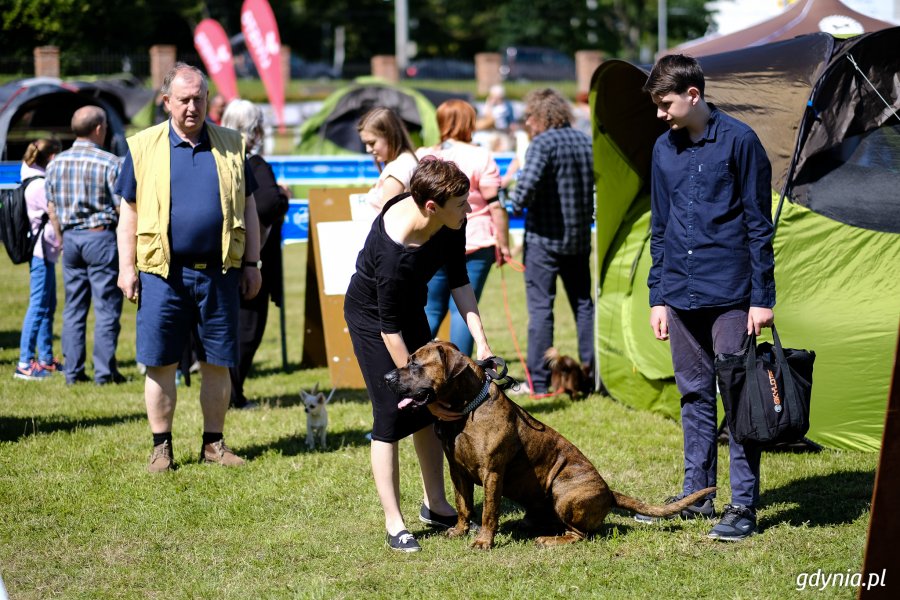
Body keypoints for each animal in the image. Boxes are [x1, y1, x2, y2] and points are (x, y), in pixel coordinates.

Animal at [384, 340, 712, 552]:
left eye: (415, 363)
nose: (387, 377)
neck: (467, 410)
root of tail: (609, 492)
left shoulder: (492, 474)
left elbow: (489, 510)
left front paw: (484, 541)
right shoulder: (457, 471)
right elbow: (464, 505)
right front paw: (461, 530)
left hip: (563, 492)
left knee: (580, 534)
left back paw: (551, 539)